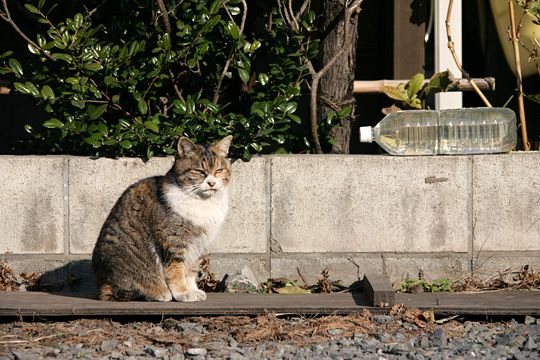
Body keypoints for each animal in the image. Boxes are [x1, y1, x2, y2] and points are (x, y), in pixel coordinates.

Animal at [93, 135, 232, 300]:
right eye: (199, 171)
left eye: (219, 170)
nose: (211, 182)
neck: (203, 202)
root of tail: (102, 284)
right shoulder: (173, 242)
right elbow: (177, 270)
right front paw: (183, 293)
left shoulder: (199, 245)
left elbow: (191, 271)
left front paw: (193, 290)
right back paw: (160, 293)